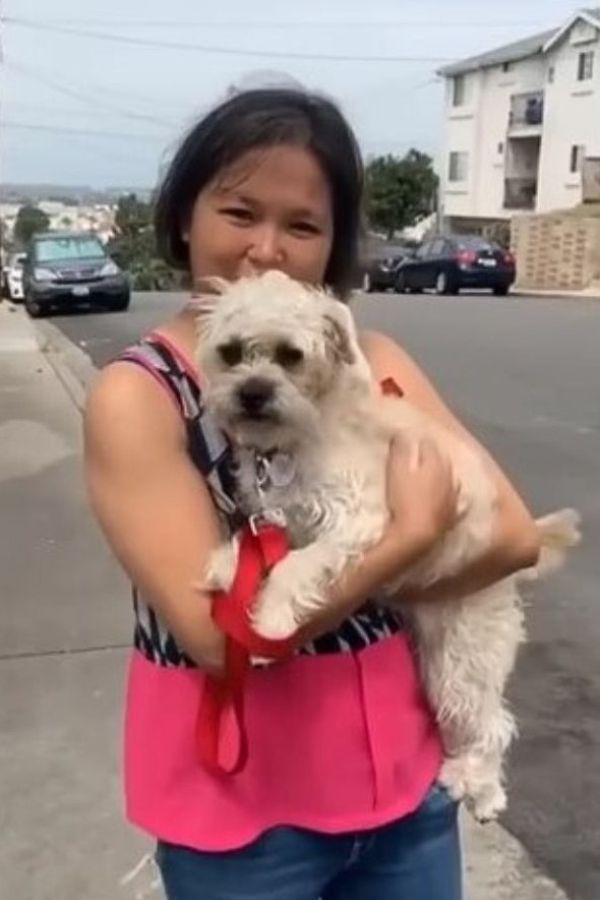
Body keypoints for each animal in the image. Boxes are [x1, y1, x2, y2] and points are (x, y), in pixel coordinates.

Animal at [197, 272, 580, 824]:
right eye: (230, 352)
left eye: (291, 355)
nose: (252, 392)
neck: (306, 430)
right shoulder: (284, 515)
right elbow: (267, 546)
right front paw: (230, 566)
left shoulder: (360, 521)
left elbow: (295, 567)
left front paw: (267, 624)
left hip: (463, 656)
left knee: (493, 724)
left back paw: (481, 788)